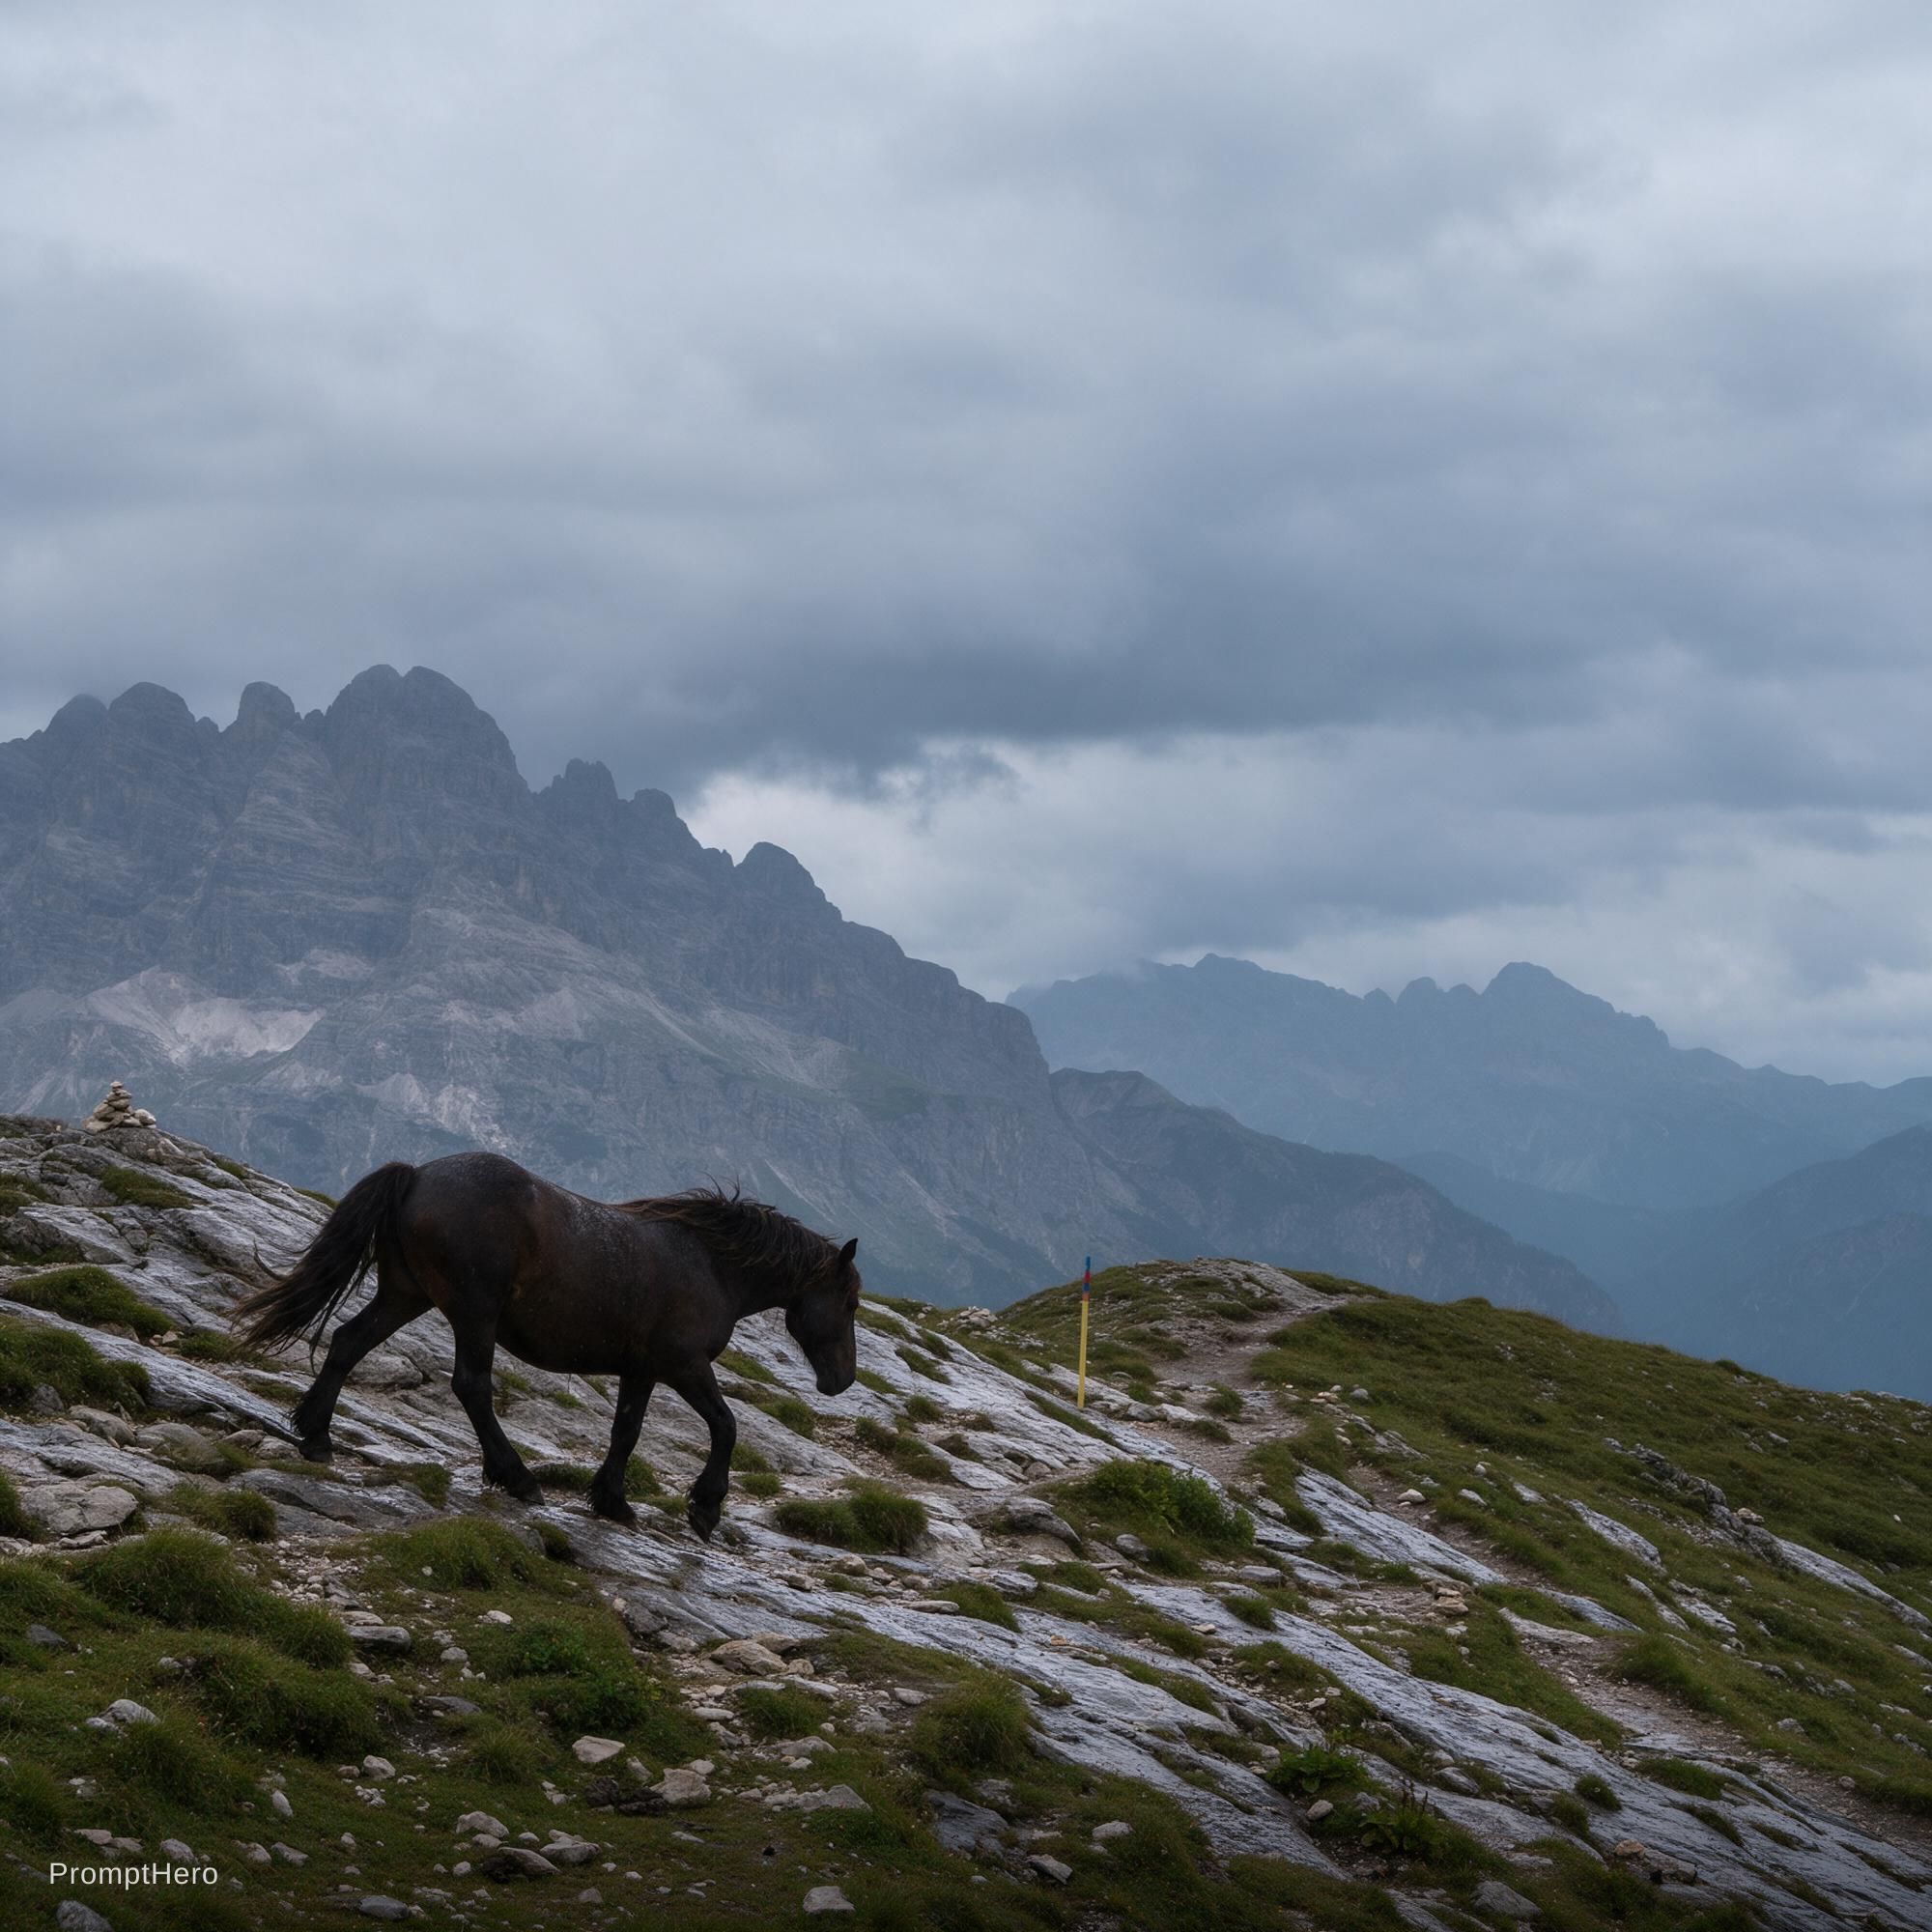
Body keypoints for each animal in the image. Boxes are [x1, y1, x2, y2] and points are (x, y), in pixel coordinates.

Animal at [230, 1151, 861, 1539]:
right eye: (851, 1301)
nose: (843, 1380)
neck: (711, 1264)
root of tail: (418, 1175)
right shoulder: (683, 1365)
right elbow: (726, 1426)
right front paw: (704, 1507)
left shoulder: (641, 1370)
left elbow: (627, 1431)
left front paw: (611, 1500)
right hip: (473, 1312)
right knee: (472, 1386)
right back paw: (517, 1478)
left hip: (406, 1295)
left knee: (347, 1343)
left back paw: (316, 1436)